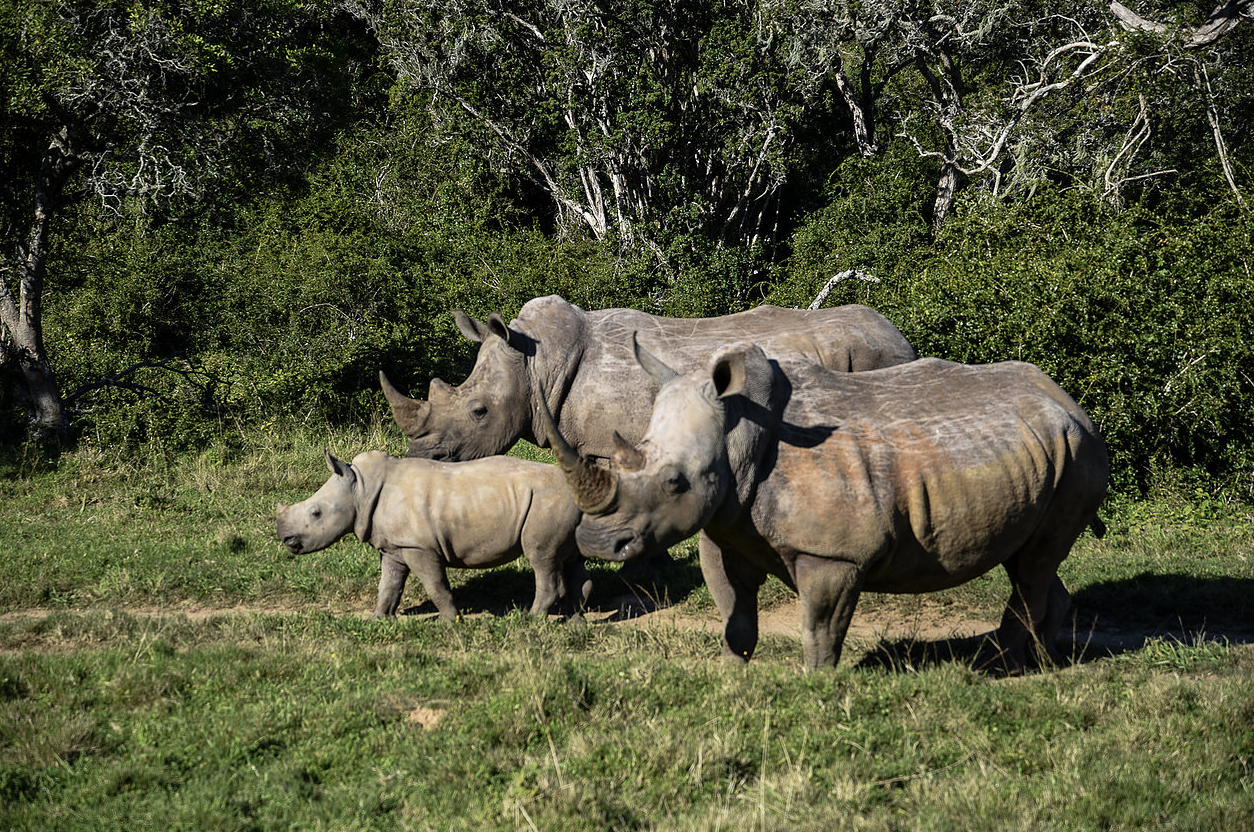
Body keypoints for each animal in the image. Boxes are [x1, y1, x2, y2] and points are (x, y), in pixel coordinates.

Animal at [275, 450, 591, 621]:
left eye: (316, 513)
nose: (285, 538)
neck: (361, 489)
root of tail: (576, 492)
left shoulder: (419, 547)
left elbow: (435, 584)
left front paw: (449, 622)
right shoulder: (395, 546)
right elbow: (389, 584)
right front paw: (379, 619)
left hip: (545, 503)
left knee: (541, 558)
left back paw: (530, 620)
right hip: (558, 504)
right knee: (570, 560)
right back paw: (575, 618)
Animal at [381, 294, 917, 462]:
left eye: (479, 411)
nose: (420, 458)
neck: (537, 363)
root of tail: (902, 336)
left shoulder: (602, 441)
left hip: (873, 355)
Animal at [543, 338, 1109, 672]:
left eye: (676, 482)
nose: (595, 542)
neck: (739, 434)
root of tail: (1069, 401)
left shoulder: (833, 554)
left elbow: (818, 625)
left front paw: (814, 684)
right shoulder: (726, 526)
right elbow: (735, 611)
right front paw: (731, 675)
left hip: (1078, 451)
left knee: (1034, 563)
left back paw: (1002, 668)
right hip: (1047, 451)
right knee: (1031, 559)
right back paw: (1043, 661)